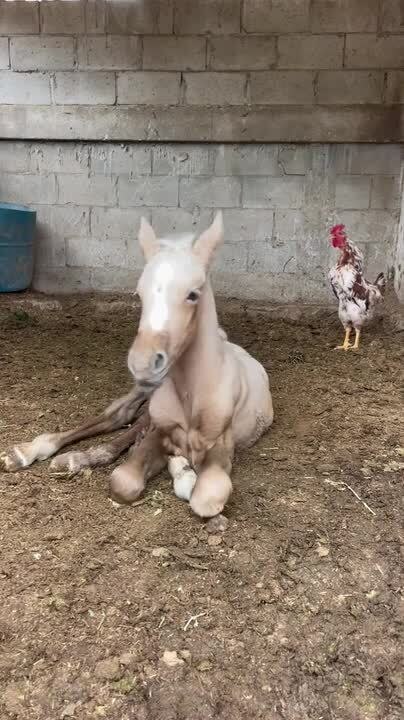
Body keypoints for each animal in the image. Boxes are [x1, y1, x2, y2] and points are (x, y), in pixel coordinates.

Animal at [1, 213, 273, 518]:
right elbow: (123, 480)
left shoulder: (221, 448)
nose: (142, 363)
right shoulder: (159, 432)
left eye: (193, 294)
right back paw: (26, 453)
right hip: (142, 396)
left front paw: (184, 474)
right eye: (139, 294)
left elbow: (205, 498)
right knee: (118, 416)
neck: (193, 393)